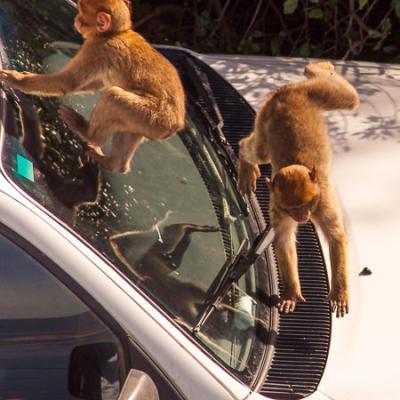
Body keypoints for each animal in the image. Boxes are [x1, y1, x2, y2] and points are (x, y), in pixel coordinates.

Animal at [0, 0, 184, 174]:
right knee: (130, 130)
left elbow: (69, 82)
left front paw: (17, 80)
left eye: (81, 13)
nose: (76, 19)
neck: (114, 33)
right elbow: (93, 84)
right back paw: (115, 165)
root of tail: (177, 125)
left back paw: (90, 134)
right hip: (151, 125)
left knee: (114, 97)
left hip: (155, 117)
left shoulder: (97, 48)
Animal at [238, 61, 360, 318]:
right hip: (267, 115)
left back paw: (318, 68)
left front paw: (339, 292)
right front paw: (291, 292)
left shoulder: (323, 201)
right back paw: (245, 159)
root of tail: (288, 91)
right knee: (257, 151)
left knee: (348, 98)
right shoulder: (278, 205)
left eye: (306, 205)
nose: (303, 217)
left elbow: (335, 236)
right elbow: (284, 240)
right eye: (294, 209)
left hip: (311, 93)